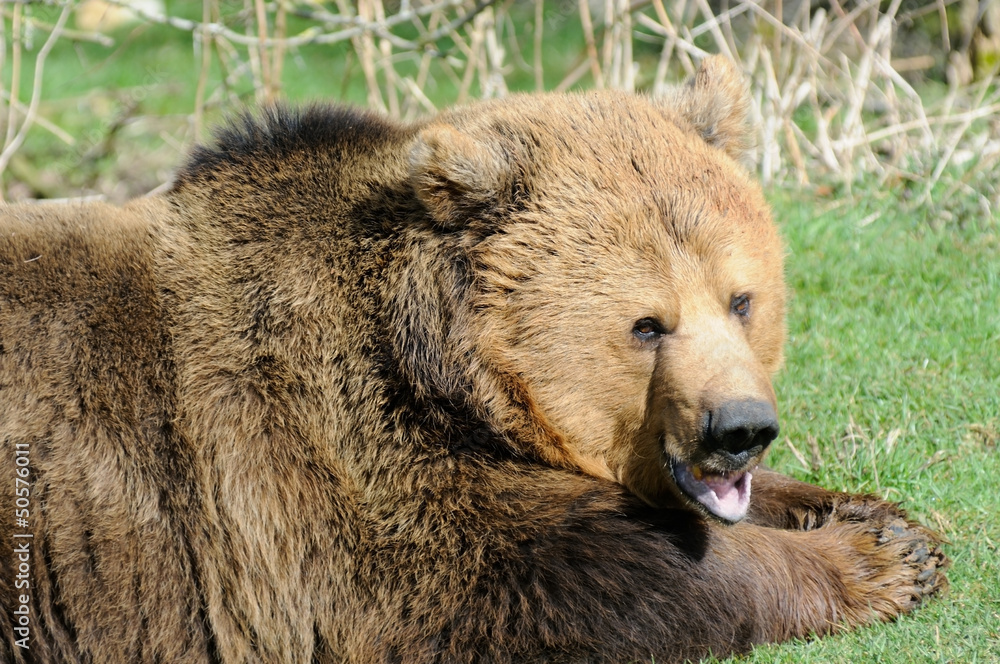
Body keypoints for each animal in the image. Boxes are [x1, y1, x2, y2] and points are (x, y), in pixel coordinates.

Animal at [0, 56, 946, 663]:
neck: (441, 377)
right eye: (648, 324)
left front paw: (886, 522)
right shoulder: (317, 468)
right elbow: (587, 571)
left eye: (741, 299)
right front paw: (870, 562)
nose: (739, 427)